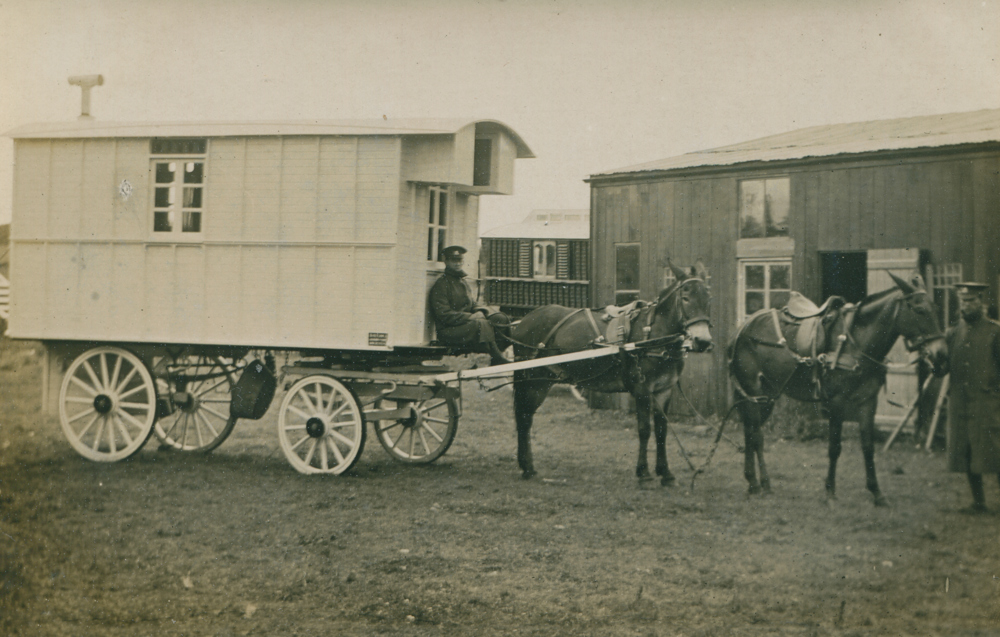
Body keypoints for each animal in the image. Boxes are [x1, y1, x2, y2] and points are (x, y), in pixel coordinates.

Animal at [512, 262, 716, 482]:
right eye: (685, 298)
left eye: (708, 297)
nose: (703, 341)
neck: (653, 336)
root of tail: (526, 319)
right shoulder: (642, 389)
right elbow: (645, 429)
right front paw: (643, 472)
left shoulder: (664, 390)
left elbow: (662, 430)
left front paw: (665, 473)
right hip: (533, 380)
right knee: (524, 418)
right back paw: (527, 467)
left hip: (541, 380)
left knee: (525, 417)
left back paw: (527, 466)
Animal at [728, 270, 944, 504]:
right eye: (920, 310)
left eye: (936, 308)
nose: (941, 354)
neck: (855, 343)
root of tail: (743, 328)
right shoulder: (836, 402)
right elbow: (834, 447)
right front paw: (830, 490)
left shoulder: (868, 401)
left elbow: (868, 447)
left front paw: (876, 492)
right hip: (753, 390)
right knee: (756, 436)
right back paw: (762, 484)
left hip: (765, 397)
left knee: (750, 432)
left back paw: (754, 482)